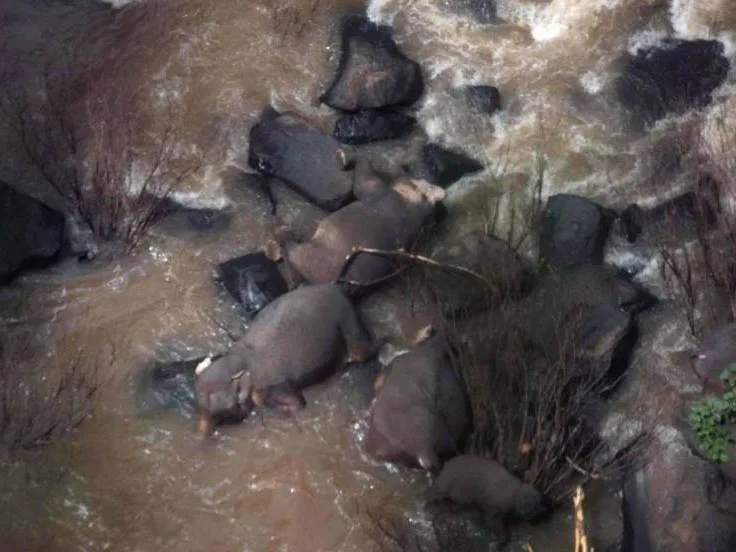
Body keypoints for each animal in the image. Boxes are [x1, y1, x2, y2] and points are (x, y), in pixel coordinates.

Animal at [194, 284, 374, 435]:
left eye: (227, 411)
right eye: (200, 407)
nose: (203, 432)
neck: (241, 358)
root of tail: (340, 289)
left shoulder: (276, 387)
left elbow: (298, 404)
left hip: (350, 325)